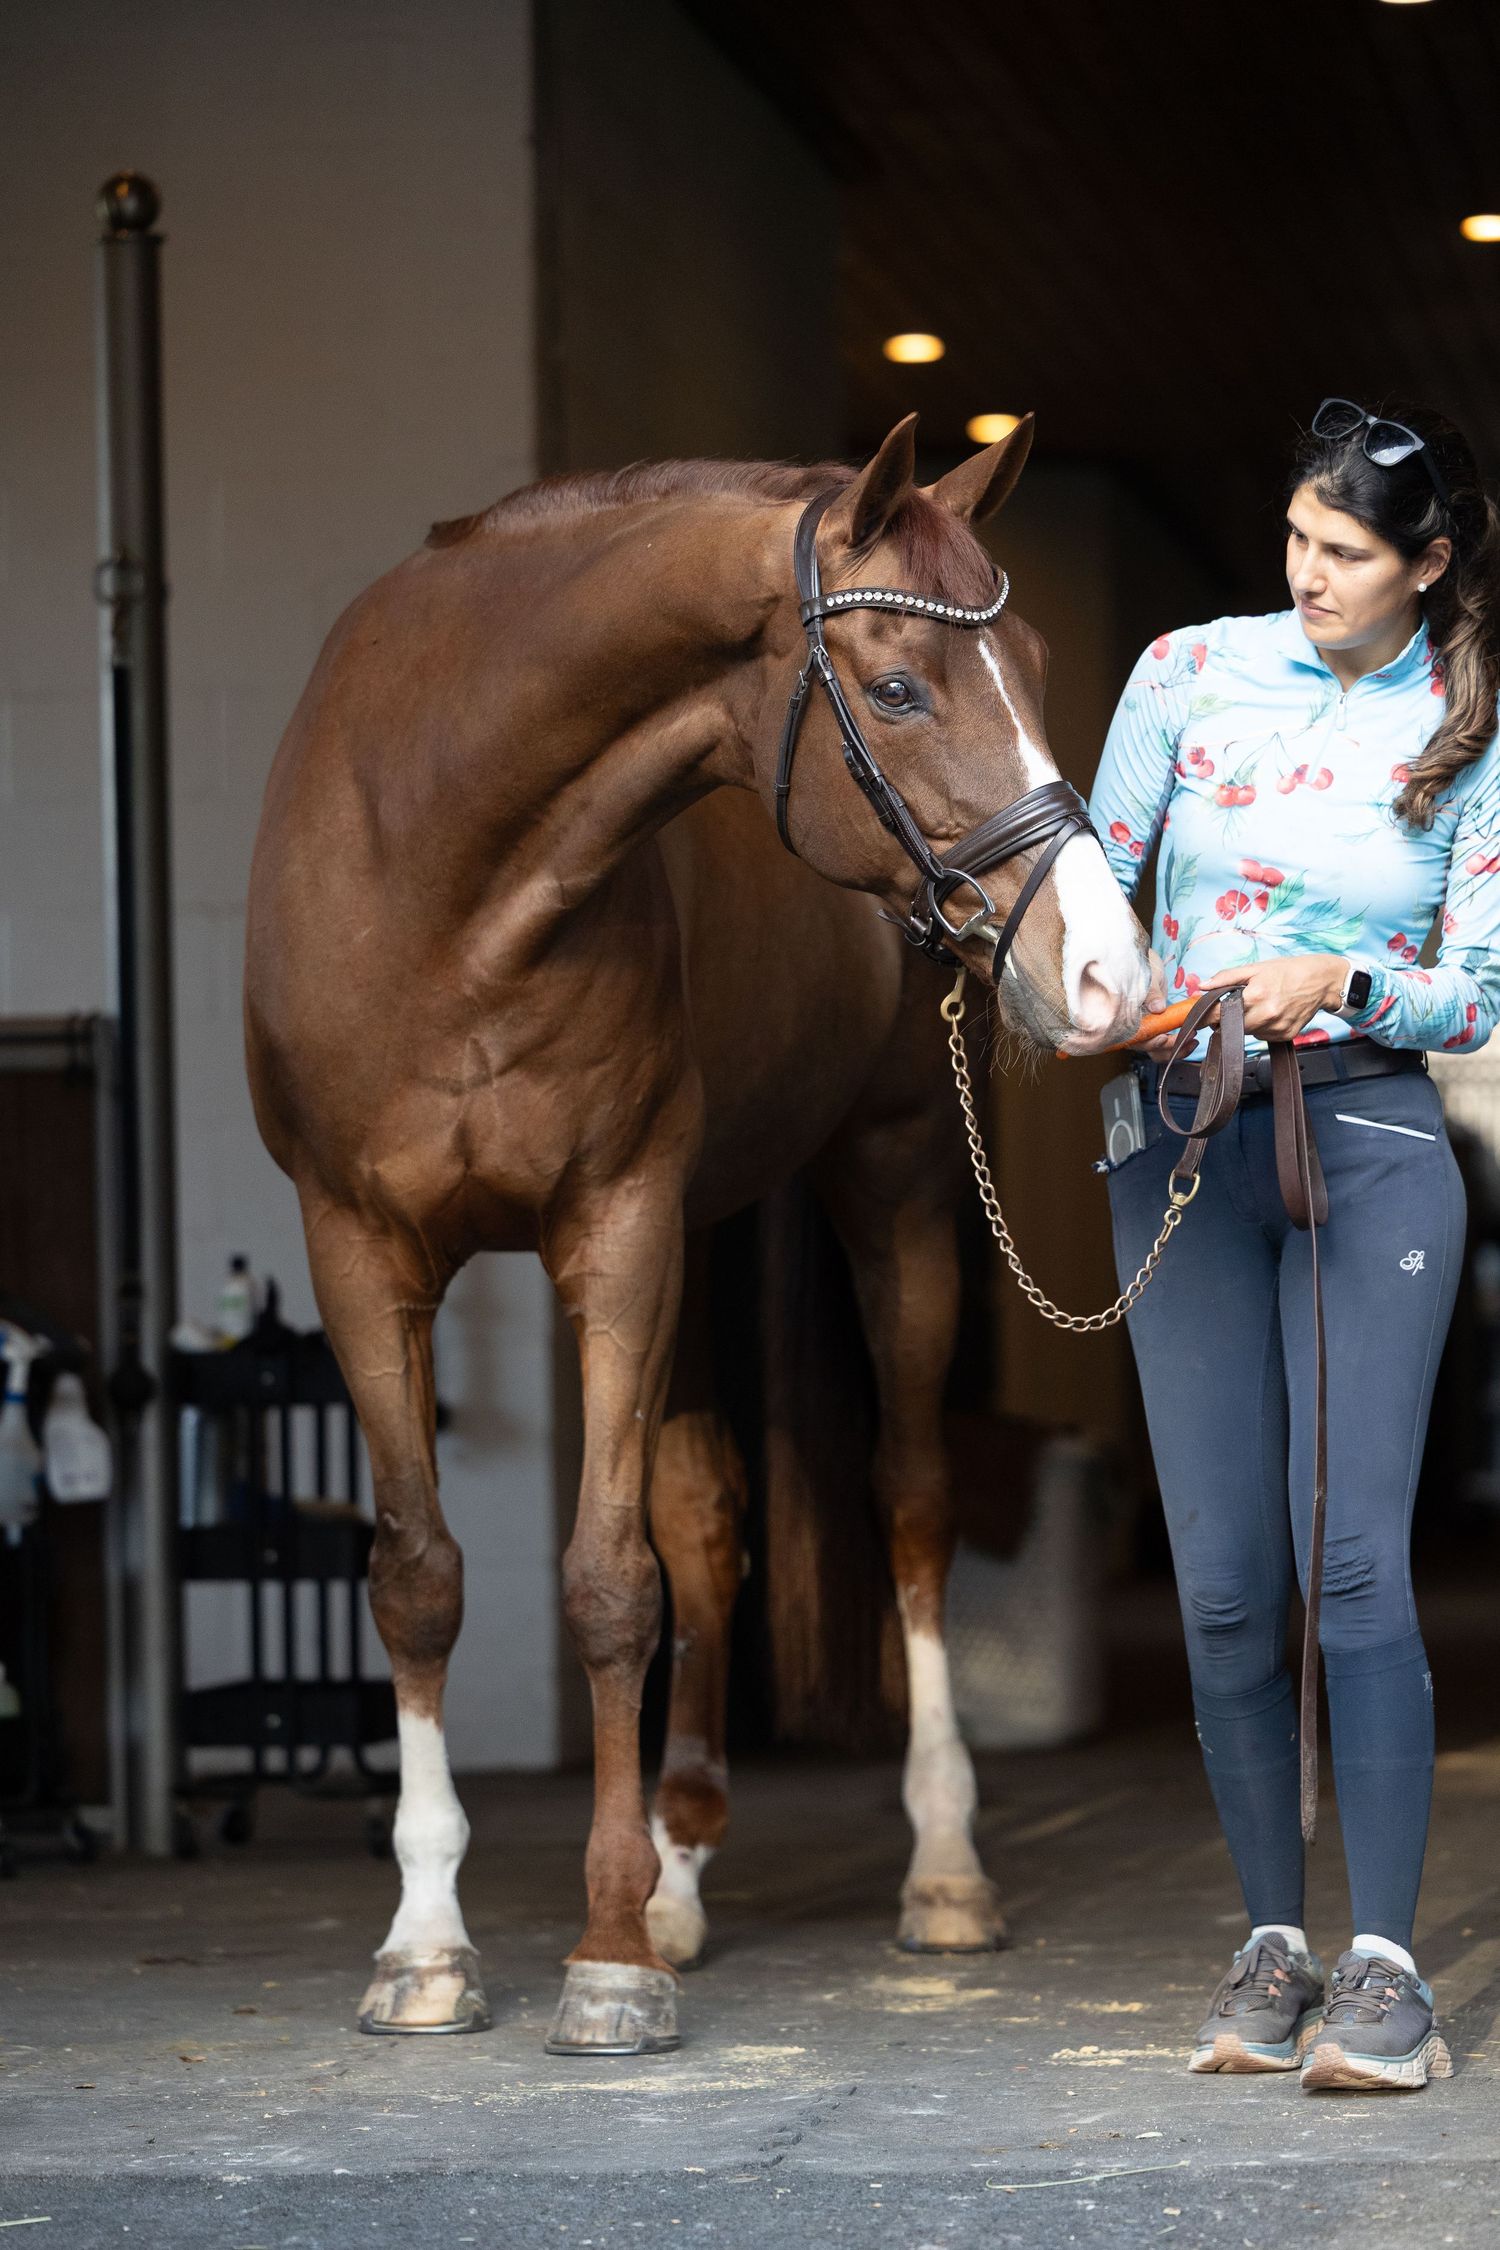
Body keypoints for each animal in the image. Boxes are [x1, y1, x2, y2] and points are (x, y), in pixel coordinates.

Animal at [244, 411, 1151, 2056]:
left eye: (1042, 668)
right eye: (900, 685)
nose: (1108, 969)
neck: (441, 870)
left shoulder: (619, 1224)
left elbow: (611, 1582)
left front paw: (606, 1957)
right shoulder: (361, 1246)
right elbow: (422, 1574)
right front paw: (428, 1946)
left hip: (891, 1184)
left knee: (910, 1497)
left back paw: (940, 1866)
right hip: (710, 1221)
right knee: (712, 1513)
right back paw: (681, 1868)